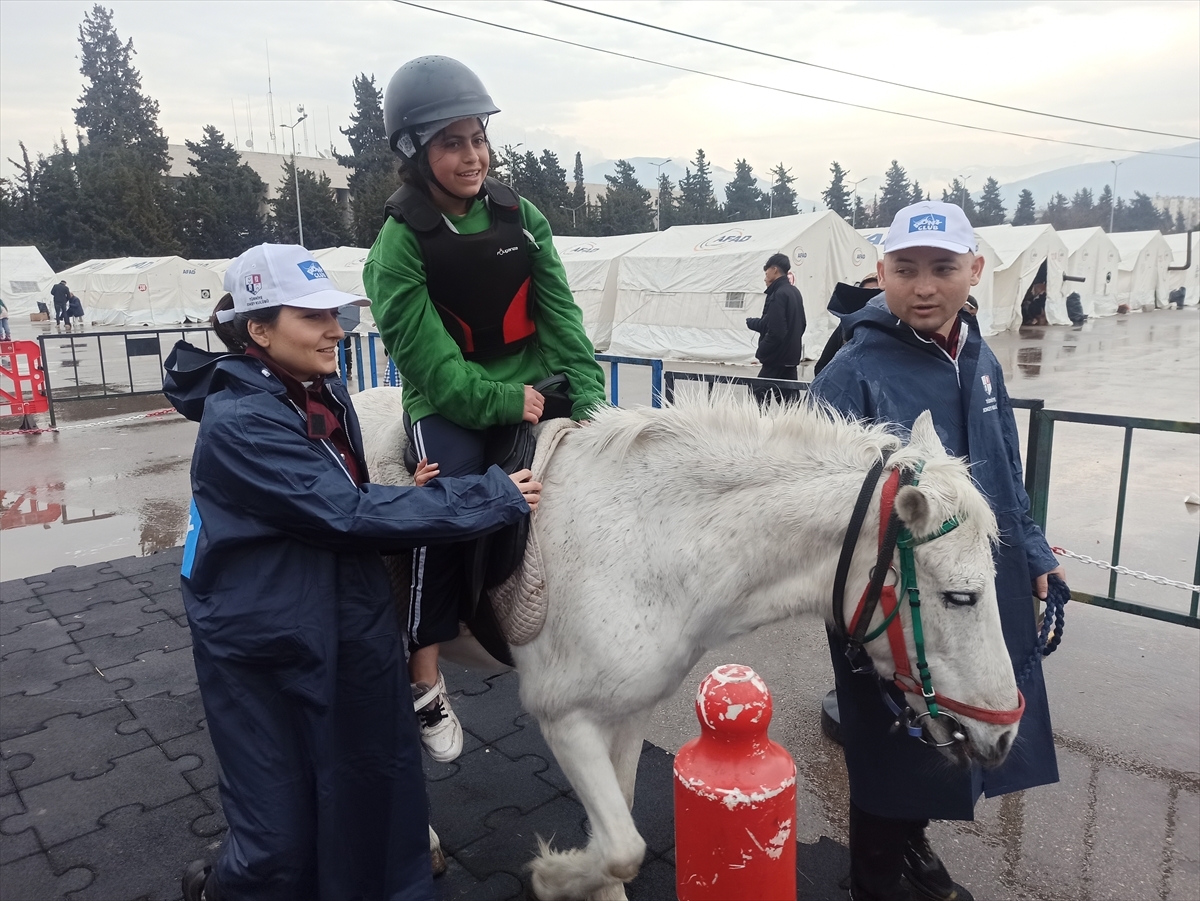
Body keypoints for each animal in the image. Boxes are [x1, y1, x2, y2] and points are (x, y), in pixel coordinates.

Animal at [350, 388, 1017, 901]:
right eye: (962, 597)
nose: (1006, 733)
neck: (646, 540)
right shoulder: (563, 717)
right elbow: (622, 847)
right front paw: (549, 875)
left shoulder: (625, 710)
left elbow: (618, 830)